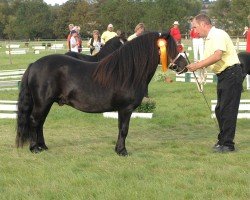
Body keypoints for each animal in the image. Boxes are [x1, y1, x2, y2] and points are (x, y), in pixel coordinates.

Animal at [16, 32, 188, 155]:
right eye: (172, 47)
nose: (184, 65)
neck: (128, 73)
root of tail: (34, 65)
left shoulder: (122, 110)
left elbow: (120, 129)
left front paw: (118, 149)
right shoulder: (126, 109)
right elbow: (124, 129)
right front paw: (122, 151)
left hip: (47, 103)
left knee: (40, 123)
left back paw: (43, 146)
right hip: (43, 102)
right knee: (34, 121)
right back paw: (35, 148)